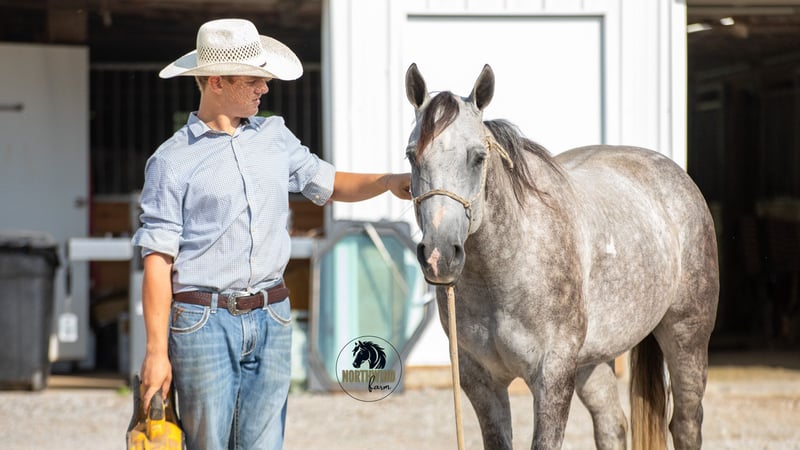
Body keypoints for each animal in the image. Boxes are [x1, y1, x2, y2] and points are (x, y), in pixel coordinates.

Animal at [404, 63, 719, 449]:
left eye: (478, 157)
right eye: (411, 156)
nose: (439, 255)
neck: (504, 270)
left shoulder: (552, 375)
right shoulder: (481, 381)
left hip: (687, 338)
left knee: (686, 424)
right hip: (589, 362)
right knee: (612, 424)